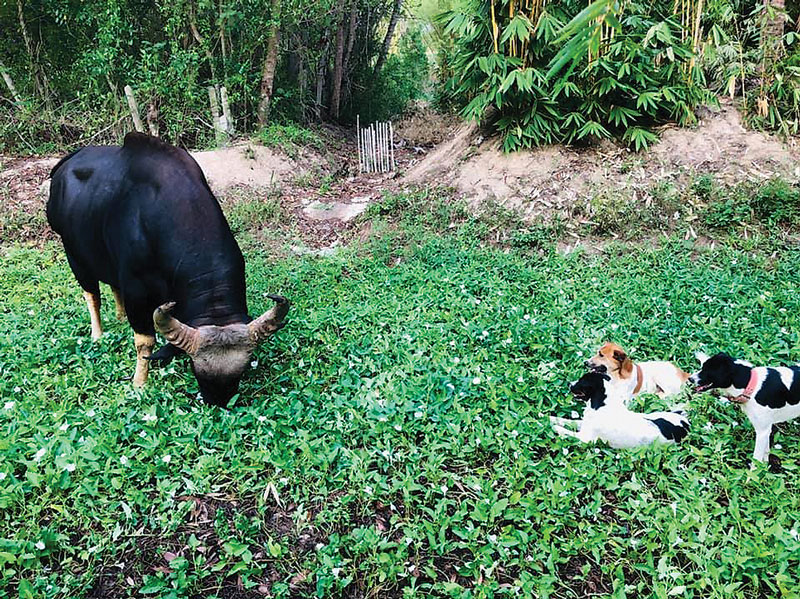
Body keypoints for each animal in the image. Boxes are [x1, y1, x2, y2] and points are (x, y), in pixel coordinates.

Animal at [47, 133, 290, 406]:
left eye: (243, 367)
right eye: (196, 368)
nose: (218, 402)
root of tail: (65, 164)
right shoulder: (136, 290)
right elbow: (145, 342)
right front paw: (140, 383)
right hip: (75, 257)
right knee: (92, 296)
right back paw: (97, 334)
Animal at [552, 370, 692, 450]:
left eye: (581, 381)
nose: (569, 384)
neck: (603, 405)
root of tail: (685, 422)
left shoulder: (586, 439)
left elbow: (566, 431)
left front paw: (553, 427)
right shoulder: (585, 424)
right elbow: (568, 421)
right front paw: (549, 418)